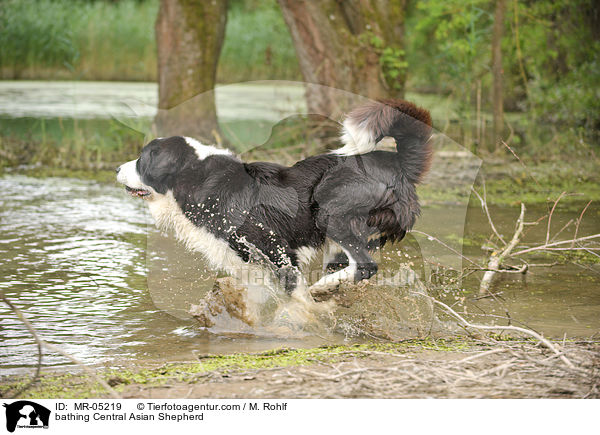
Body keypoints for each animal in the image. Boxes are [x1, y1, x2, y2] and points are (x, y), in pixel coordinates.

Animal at [116, 99, 432, 300]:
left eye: (143, 160)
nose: (117, 168)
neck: (198, 176)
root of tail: (399, 163)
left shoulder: (277, 250)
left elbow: (292, 297)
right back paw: (328, 288)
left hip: (330, 211)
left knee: (366, 266)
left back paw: (323, 287)